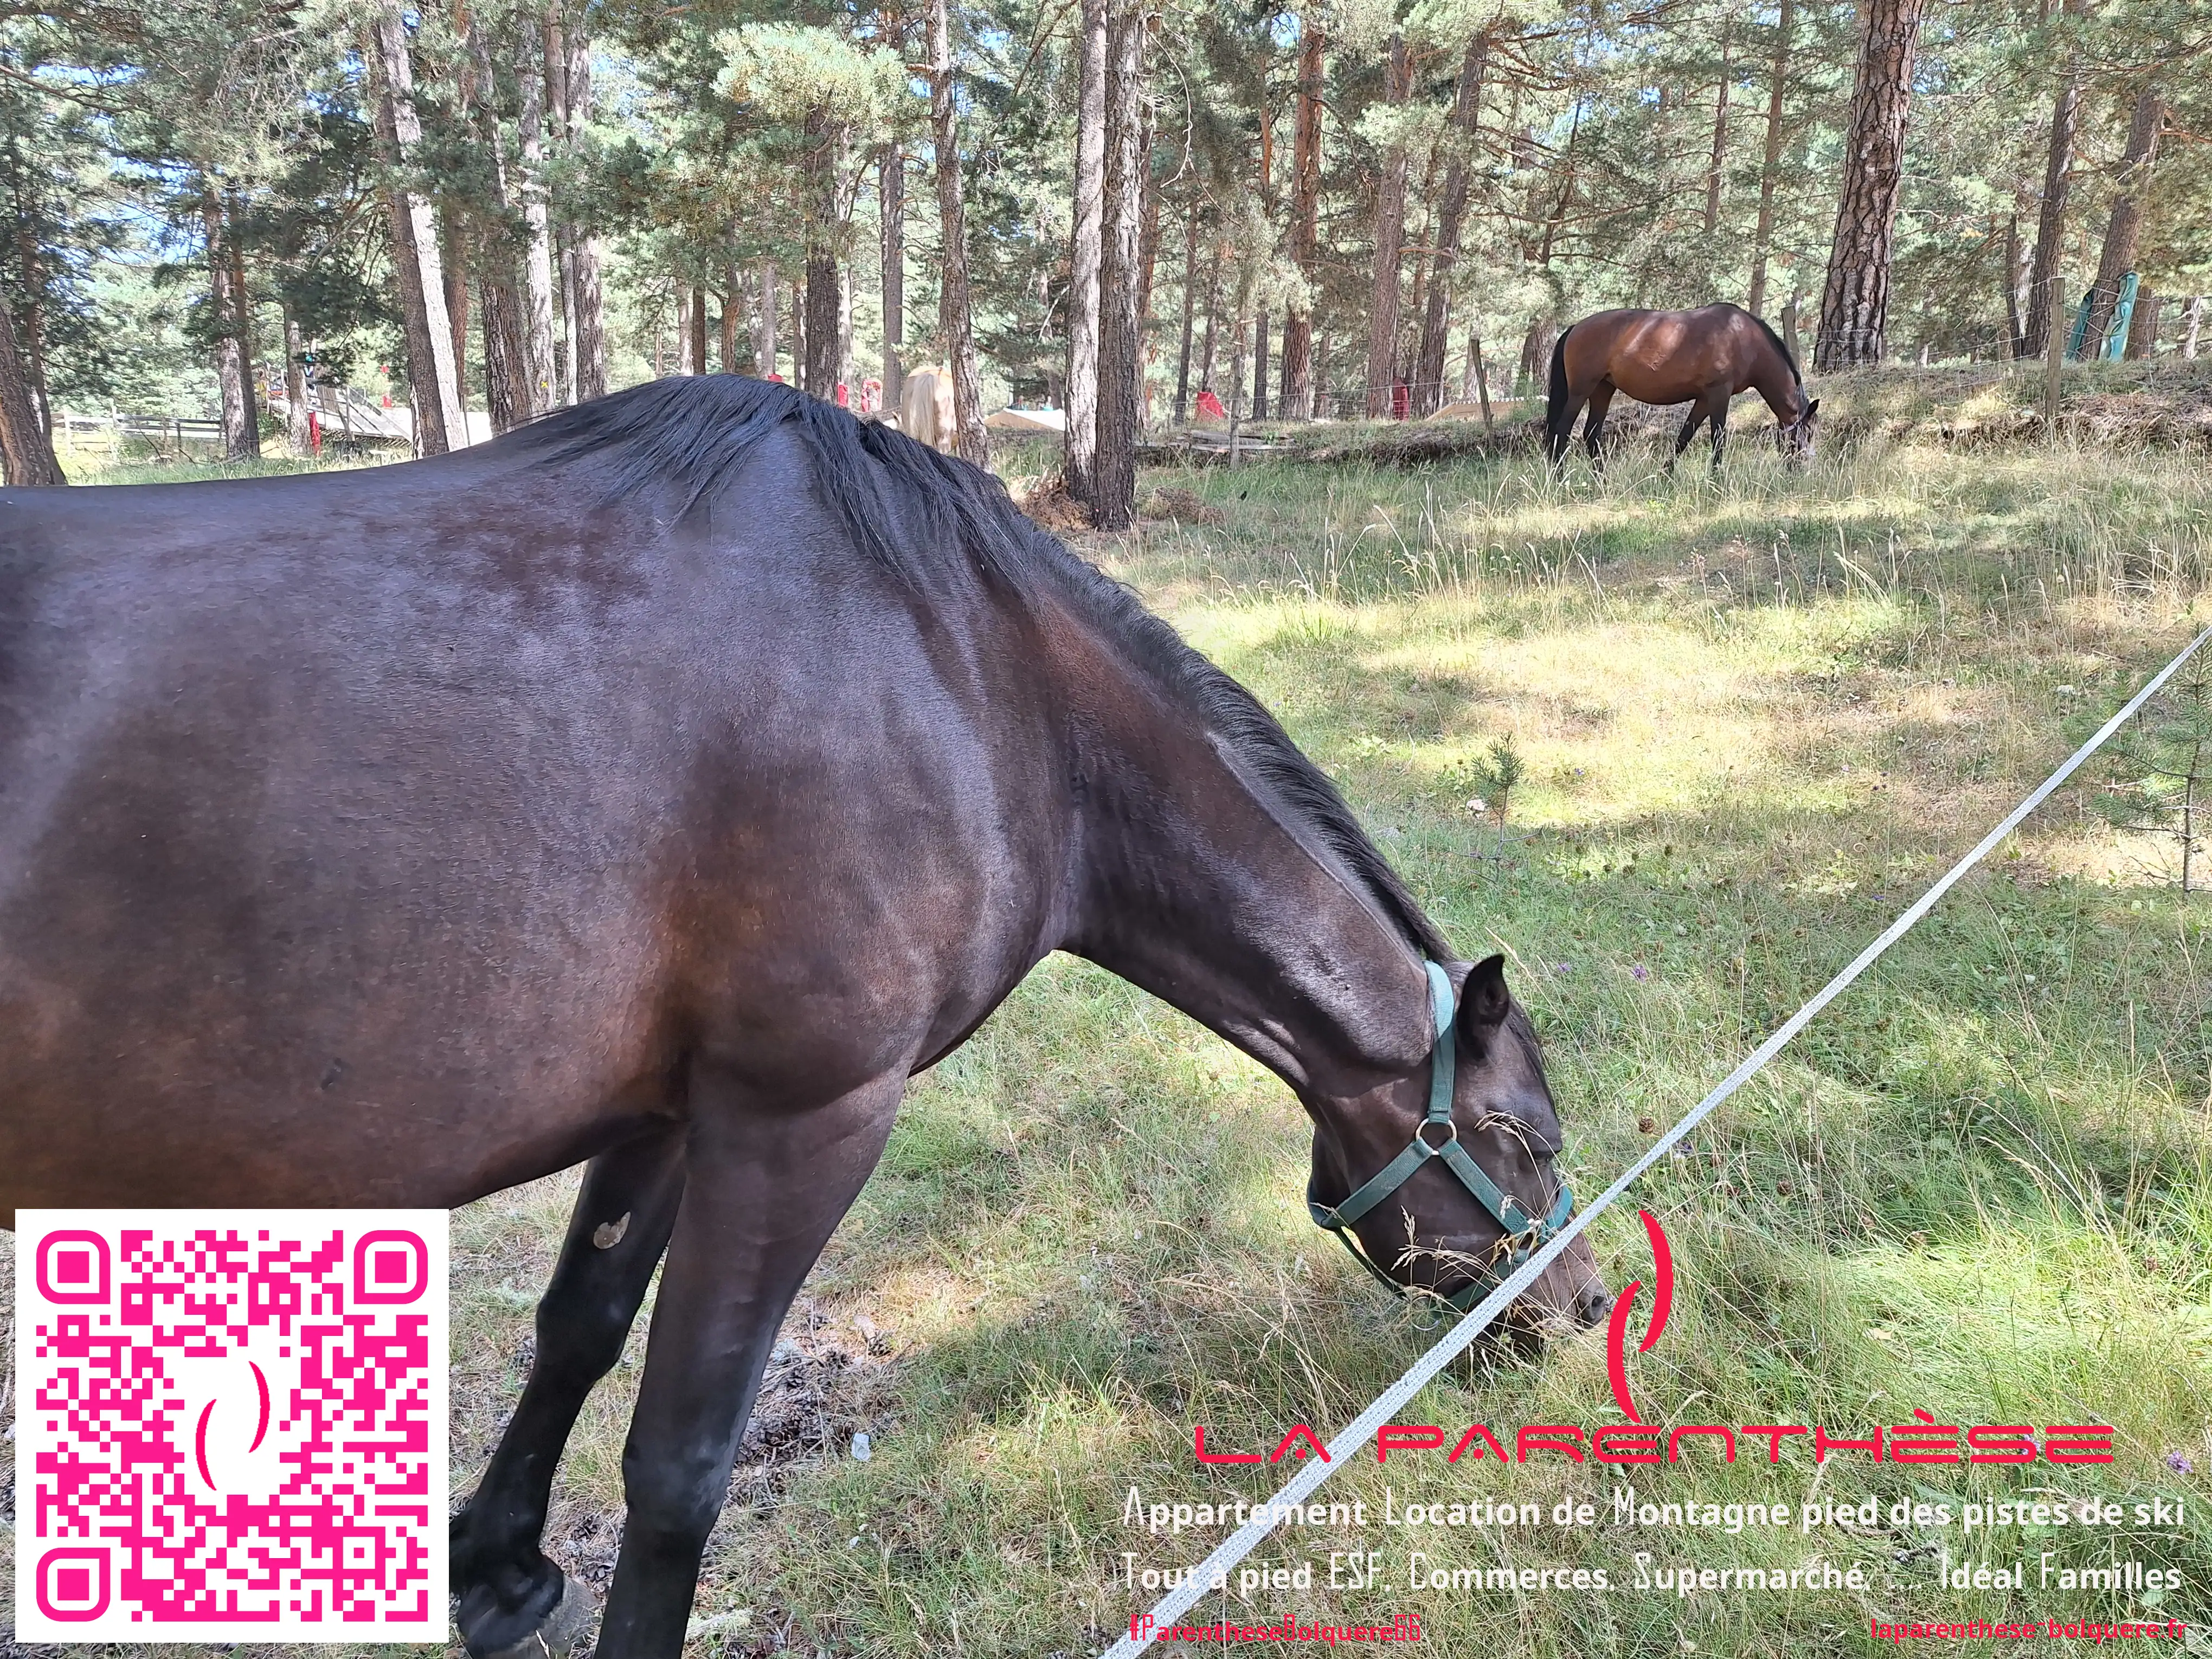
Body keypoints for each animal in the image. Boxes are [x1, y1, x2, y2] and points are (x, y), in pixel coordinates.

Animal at [0, 376, 1609, 1659]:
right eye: (1523, 1136)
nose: (1587, 1307)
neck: (983, 683)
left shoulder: (671, 1107)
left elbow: (578, 1328)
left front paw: (501, 1575)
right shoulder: (802, 1119)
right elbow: (679, 1462)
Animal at [1545, 303, 1818, 473]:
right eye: (1809, 431)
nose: (1803, 467)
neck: (1743, 337)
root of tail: (1575, 328)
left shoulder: (1705, 399)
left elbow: (1684, 436)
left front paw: (1666, 474)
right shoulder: (1719, 394)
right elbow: (1718, 437)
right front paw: (1716, 478)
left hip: (1603, 390)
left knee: (1592, 434)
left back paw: (1603, 481)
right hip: (1581, 391)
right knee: (1562, 430)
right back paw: (1560, 478)